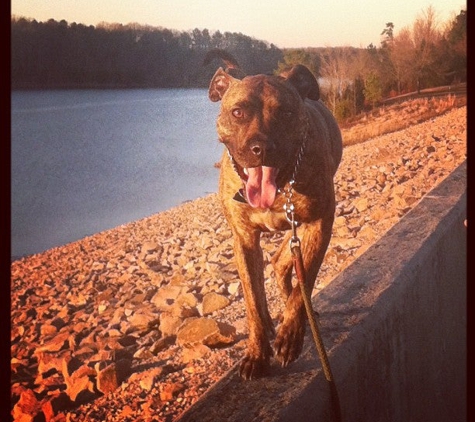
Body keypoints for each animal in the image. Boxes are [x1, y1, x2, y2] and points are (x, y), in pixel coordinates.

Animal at [206, 49, 344, 380]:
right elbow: (253, 302)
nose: (261, 148)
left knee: (284, 265)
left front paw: (291, 335)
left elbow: (304, 281)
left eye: (286, 113)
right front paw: (257, 352)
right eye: (238, 112)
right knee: (273, 270)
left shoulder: (318, 224)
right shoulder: (244, 240)